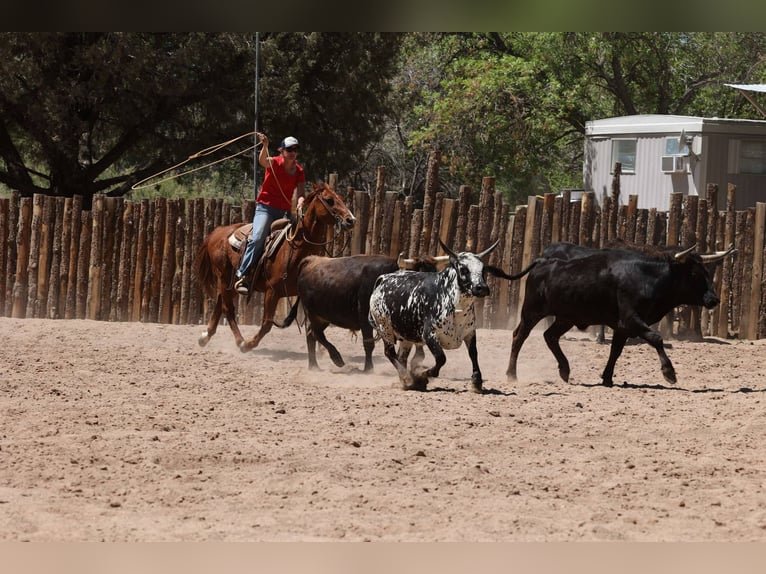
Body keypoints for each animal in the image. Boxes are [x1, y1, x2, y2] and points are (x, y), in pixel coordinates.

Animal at [193, 181, 356, 351]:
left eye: (341, 198)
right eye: (329, 200)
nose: (351, 220)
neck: (296, 249)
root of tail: (218, 231)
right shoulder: (272, 291)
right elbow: (266, 324)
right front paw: (248, 344)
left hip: (229, 283)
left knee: (220, 303)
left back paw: (205, 337)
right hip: (223, 277)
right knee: (227, 309)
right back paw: (240, 341)